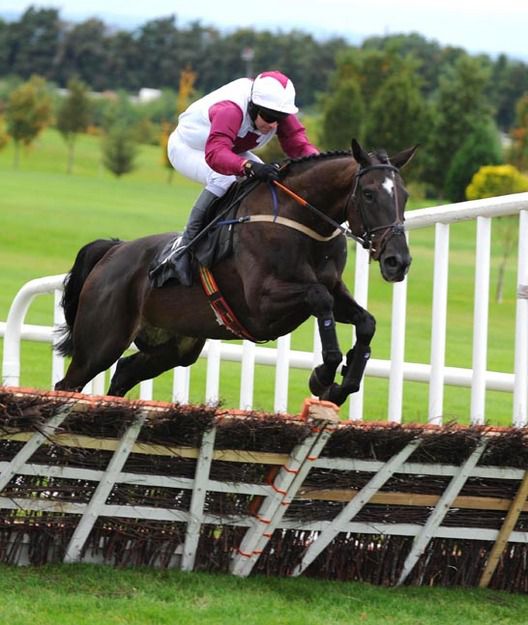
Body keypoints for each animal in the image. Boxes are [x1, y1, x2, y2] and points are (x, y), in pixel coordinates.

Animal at [54, 139, 416, 408]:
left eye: (405, 195)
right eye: (369, 193)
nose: (398, 261)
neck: (299, 221)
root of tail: (113, 251)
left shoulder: (334, 288)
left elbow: (365, 321)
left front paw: (344, 382)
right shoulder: (262, 305)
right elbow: (319, 298)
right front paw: (323, 374)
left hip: (174, 347)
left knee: (124, 373)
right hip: (101, 342)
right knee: (67, 383)